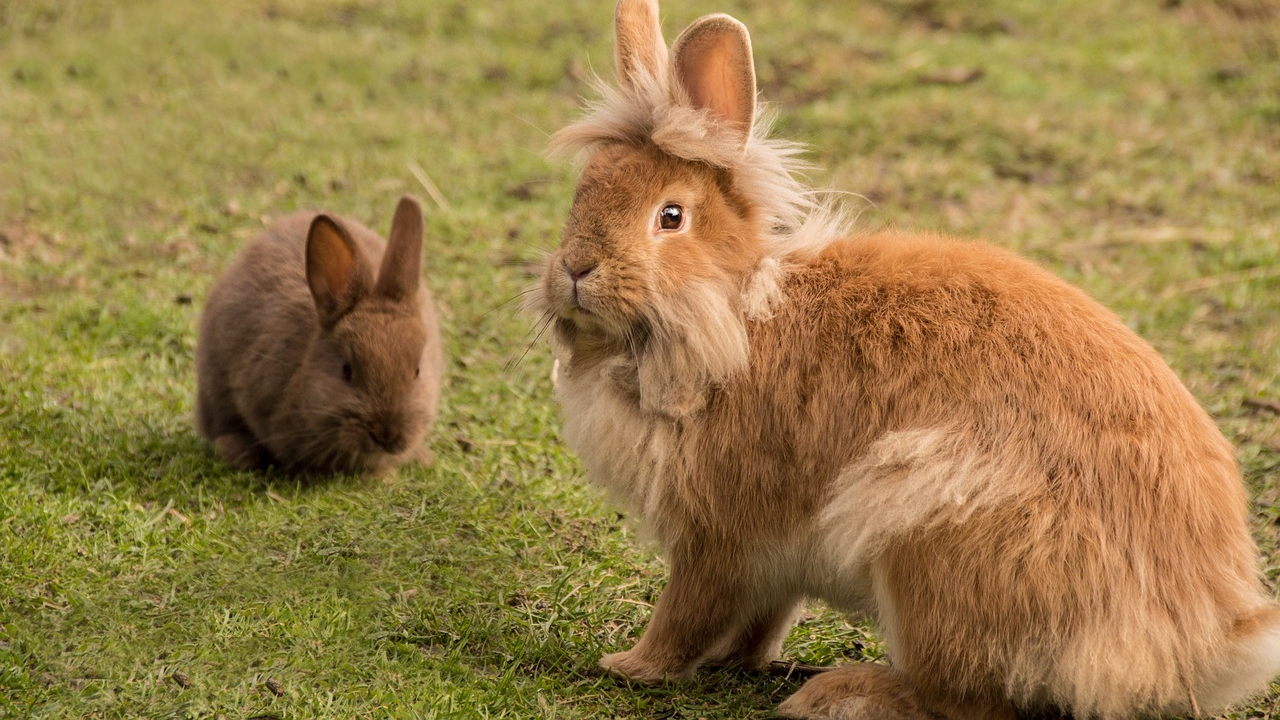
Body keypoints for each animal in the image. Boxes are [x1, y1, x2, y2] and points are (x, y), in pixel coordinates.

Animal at [535, 1, 1280, 717]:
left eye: (670, 217)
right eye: (583, 191)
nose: (574, 268)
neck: (734, 311)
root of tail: (1195, 645)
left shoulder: (717, 537)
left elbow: (687, 612)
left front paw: (630, 666)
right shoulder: (772, 562)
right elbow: (762, 619)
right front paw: (732, 661)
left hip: (928, 537)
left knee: (964, 702)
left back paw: (840, 696)